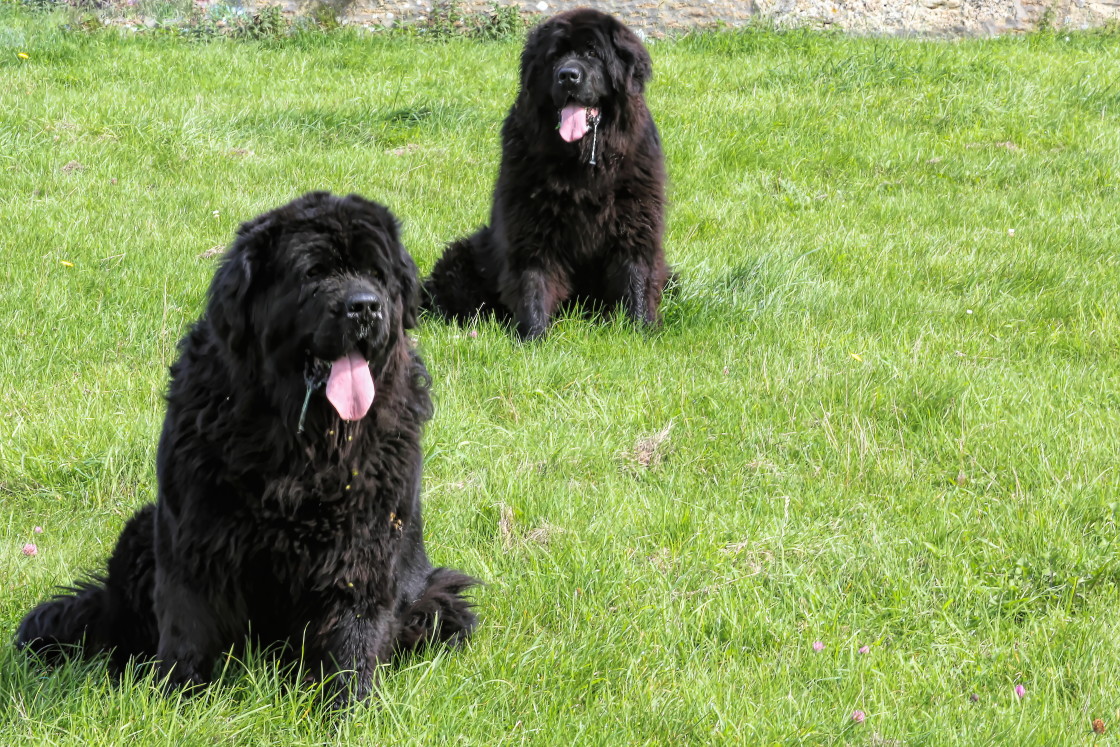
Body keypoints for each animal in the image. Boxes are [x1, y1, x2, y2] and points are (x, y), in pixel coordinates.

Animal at [15, 191, 477, 707]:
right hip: (140, 533)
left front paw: (346, 707)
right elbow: (187, 621)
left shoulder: (363, 544)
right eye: (313, 274)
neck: (303, 443)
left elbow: (352, 632)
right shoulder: (195, 531)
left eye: (377, 274)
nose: (365, 307)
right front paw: (176, 700)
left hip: (438, 602)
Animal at [421, 8, 663, 342]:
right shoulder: (529, 223)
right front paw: (533, 337)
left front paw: (640, 331)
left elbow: (635, 274)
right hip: (462, 257)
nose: (568, 75)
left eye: (592, 53)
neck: (583, 165)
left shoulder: (635, 219)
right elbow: (533, 278)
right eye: (555, 56)